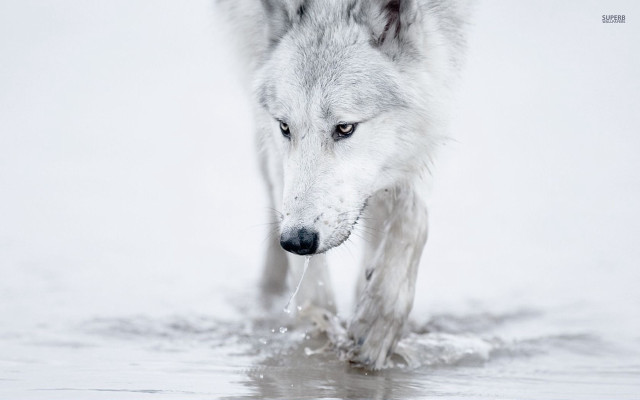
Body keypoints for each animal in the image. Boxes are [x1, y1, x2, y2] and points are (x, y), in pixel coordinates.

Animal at [216, 0, 468, 369]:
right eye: (285, 127)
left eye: (345, 128)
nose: (297, 240)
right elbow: (313, 286)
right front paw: (319, 330)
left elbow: (412, 216)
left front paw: (377, 320)